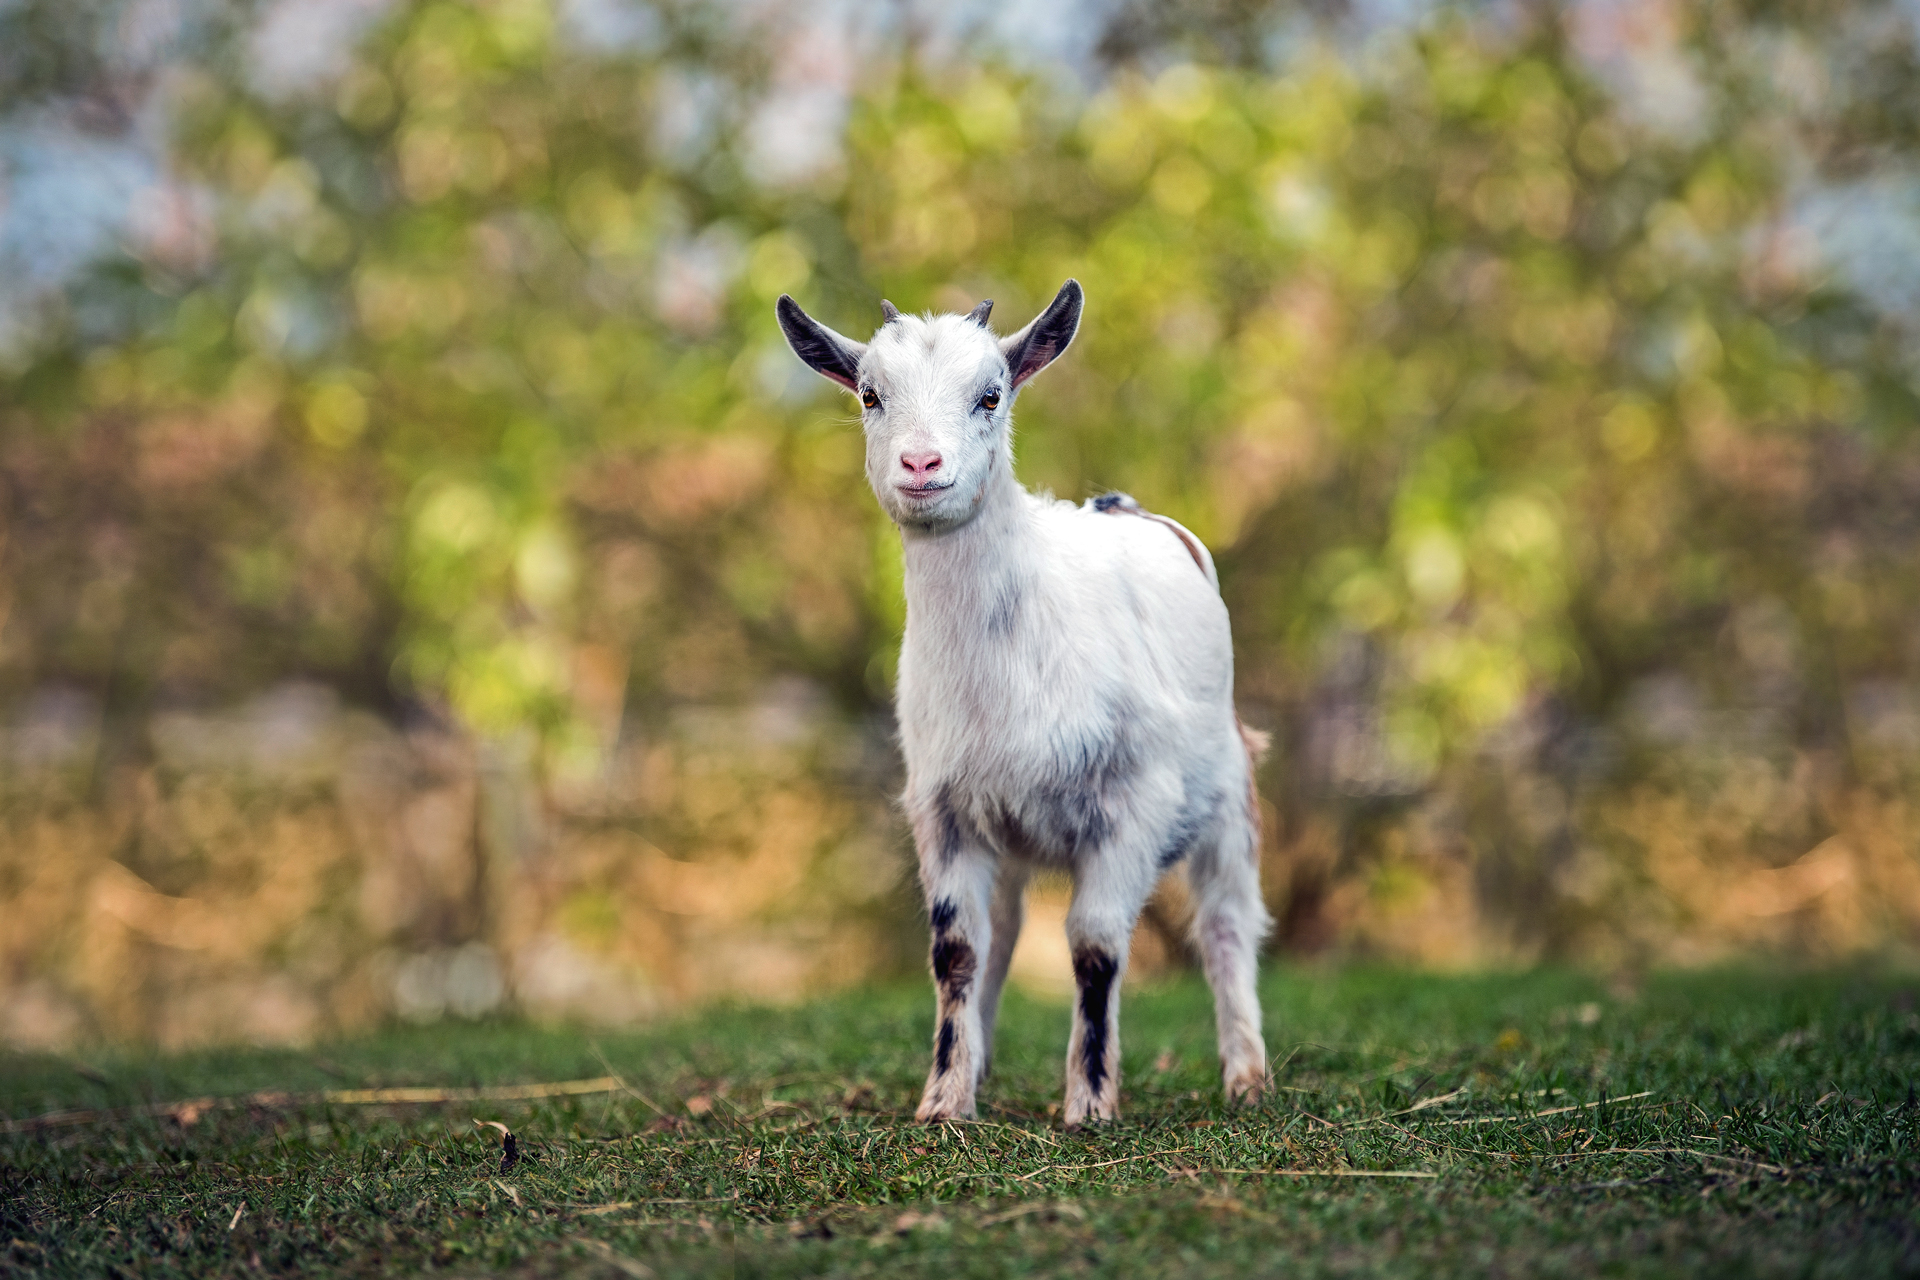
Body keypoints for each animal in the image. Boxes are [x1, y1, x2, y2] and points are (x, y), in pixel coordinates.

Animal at [776, 280, 1270, 1125]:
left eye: (991, 395)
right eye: (871, 395)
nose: (920, 462)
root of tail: (1121, 505)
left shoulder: (1134, 801)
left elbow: (1096, 946)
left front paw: (1091, 1103)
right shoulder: (942, 807)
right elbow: (957, 950)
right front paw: (944, 1101)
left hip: (1227, 787)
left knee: (1228, 919)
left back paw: (1247, 1075)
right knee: (1002, 934)